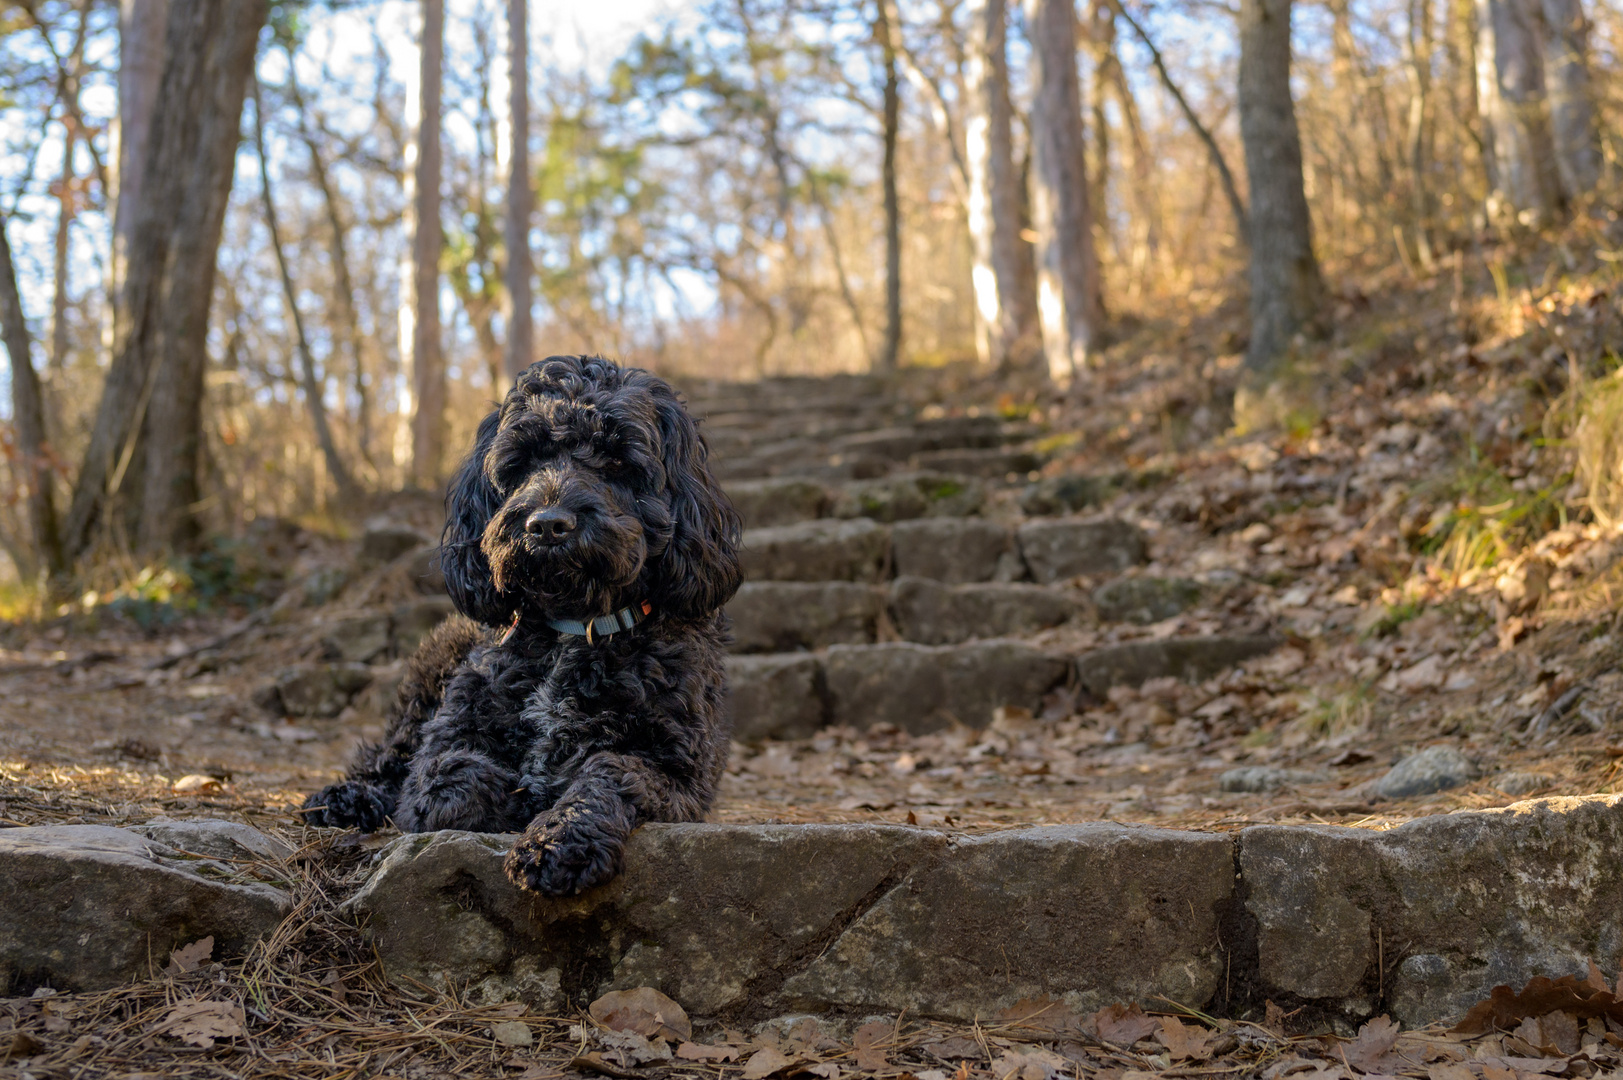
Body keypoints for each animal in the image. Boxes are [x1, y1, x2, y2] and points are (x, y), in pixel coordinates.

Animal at [298, 354, 743, 889]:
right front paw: (510, 798)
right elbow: (447, 780)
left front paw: (559, 837)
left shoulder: (678, 771)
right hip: (437, 658)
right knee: (390, 757)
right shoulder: (450, 738)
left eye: (617, 461)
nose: (548, 525)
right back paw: (345, 798)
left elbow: (610, 771)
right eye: (525, 461)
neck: (572, 627)